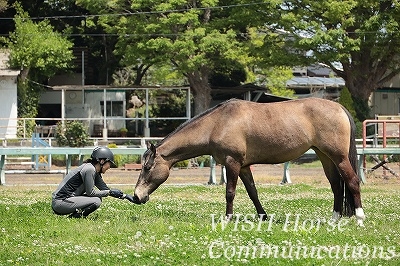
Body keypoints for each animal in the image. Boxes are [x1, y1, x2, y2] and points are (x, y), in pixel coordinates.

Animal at [132, 97, 366, 227]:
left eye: (147, 167)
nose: (136, 196)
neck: (217, 123)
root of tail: (340, 108)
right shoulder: (244, 167)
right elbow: (253, 192)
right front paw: (263, 217)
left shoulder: (232, 163)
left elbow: (230, 192)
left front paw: (227, 218)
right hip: (325, 157)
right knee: (336, 186)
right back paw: (334, 220)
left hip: (339, 157)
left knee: (352, 182)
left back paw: (360, 219)